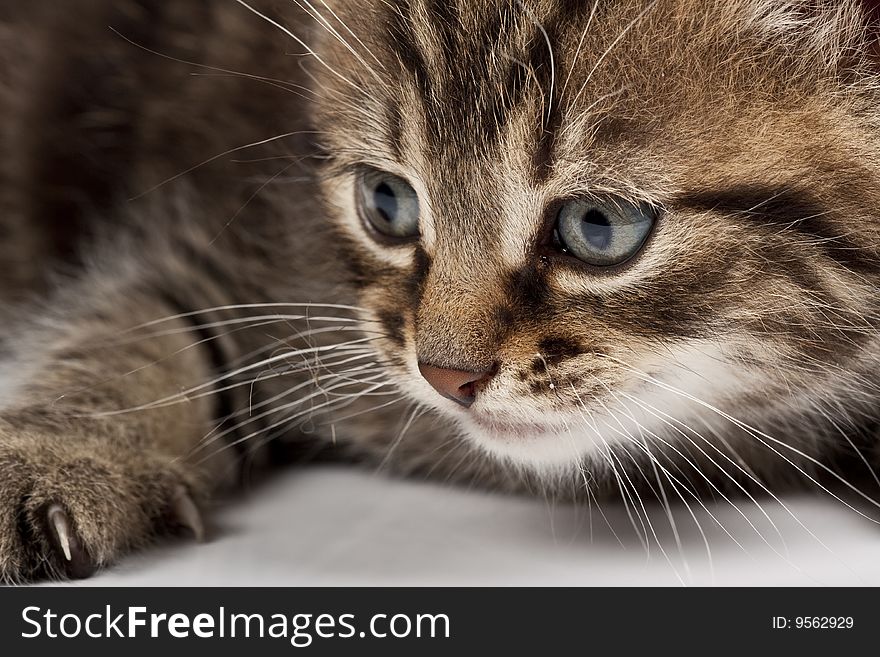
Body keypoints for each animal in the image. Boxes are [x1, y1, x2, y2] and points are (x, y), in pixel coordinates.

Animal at [1, 0, 880, 580]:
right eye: (386, 203)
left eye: (599, 226)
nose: (446, 375)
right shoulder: (239, 247)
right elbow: (142, 329)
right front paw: (54, 458)